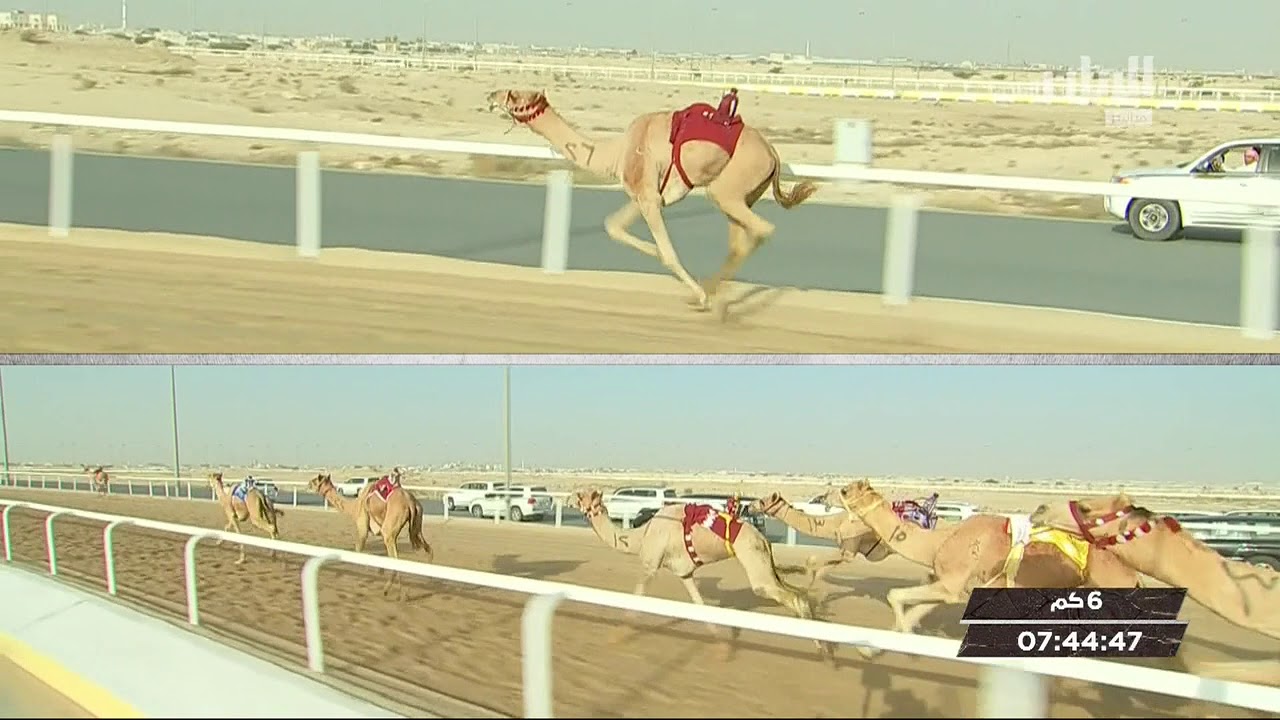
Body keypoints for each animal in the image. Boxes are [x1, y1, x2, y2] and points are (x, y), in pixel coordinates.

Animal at [487, 88, 817, 313]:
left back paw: (712, 301)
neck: (617, 152)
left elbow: (667, 251)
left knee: (763, 229)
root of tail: (773, 154)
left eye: (515, 95)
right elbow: (613, 226)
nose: (492, 95)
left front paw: (696, 289)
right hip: (743, 194)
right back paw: (712, 295)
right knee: (739, 241)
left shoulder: (647, 195)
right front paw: (666, 263)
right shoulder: (643, 194)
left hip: (729, 189)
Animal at [570, 488, 841, 661]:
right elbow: (701, 607)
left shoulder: (651, 565)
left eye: (582, 495)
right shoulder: (685, 574)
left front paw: (616, 639)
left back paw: (823, 651)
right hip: (765, 564)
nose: (572, 501)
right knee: (800, 594)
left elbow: (636, 601)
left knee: (791, 596)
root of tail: (763, 539)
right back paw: (825, 647)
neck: (639, 537)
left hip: (755, 564)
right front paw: (722, 648)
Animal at [833, 480, 1142, 639]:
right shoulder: (953, 588)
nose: (830, 493)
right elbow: (915, 608)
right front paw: (875, 645)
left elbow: (894, 594)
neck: (941, 540)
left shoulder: (952, 582)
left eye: (847, 490)